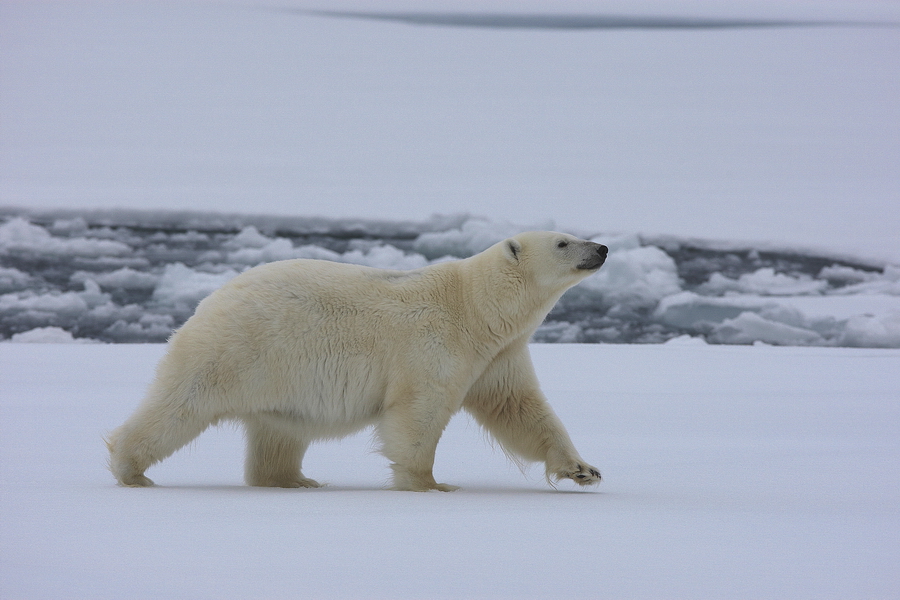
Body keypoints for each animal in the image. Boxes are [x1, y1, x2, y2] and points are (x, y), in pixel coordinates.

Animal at [109, 232, 608, 490]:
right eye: (564, 242)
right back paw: (130, 469)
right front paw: (429, 483)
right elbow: (417, 413)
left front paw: (584, 470)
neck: (475, 308)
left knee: (278, 432)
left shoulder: (498, 355)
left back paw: (294, 480)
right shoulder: (434, 343)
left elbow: (519, 409)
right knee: (179, 407)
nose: (601, 248)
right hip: (235, 351)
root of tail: (212, 298)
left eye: (576, 234)